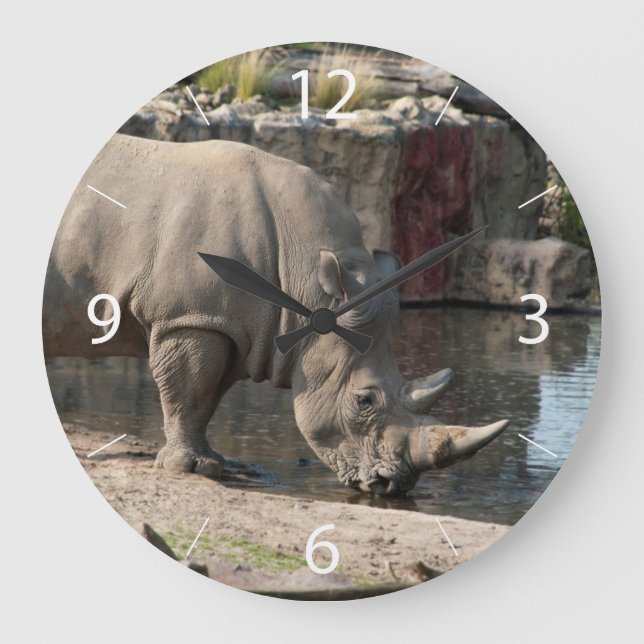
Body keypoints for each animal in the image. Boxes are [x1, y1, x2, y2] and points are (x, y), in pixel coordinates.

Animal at [43, 133, 508, 495]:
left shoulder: (237, 328)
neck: (307, 277)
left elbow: (207, 396)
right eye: (364, 400)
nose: (391, 485)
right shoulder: (191, 318)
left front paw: (209, 461)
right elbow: (188, 389)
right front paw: (190, 469)